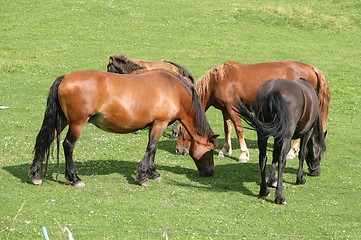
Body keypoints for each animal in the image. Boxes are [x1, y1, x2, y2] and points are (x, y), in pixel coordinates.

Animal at [28, 69, 217, 188]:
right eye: (210, 151)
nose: (210, 172)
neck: (175, 91)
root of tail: (65, 77)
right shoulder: (160, 123)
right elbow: (151, 148)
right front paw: (142, 177)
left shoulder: (154, 125)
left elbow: (153, 149)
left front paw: (153, 173)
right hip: (77, 123)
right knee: (68, 146)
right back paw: (74, 179)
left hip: (63, 121)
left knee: (45, 139)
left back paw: (35, 175)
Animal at [174, 59, 330, 163]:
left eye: (181, 132)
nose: (178, 150)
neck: (218, 81)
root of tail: (311, 68)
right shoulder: (225, 110)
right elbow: (227, 129)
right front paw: (225, 150)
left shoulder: (233, 108)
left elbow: (239, 129)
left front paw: (243, 154)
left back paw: (292, 152)